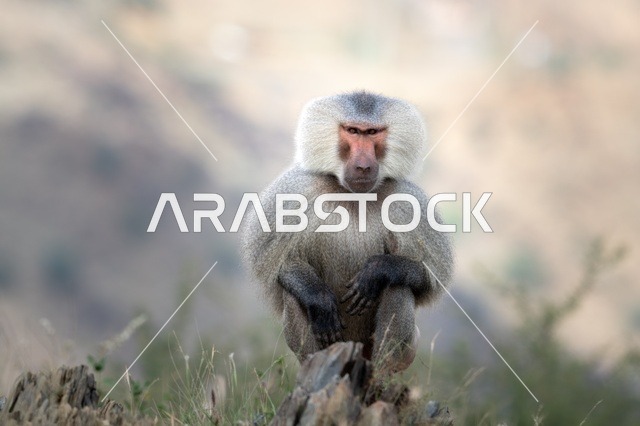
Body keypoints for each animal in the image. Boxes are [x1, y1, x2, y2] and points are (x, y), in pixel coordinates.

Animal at [242, 91, 453, 372]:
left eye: (372, 132)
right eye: (353, 131)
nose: (363, 167)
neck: (353, 195)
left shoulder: (409, 202)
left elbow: (428, 278)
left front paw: (377, 271)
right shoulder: (295, 190)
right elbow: (279, 266)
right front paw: (319, 298)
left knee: (399, 285)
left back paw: (378, 375)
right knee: (293, 296)